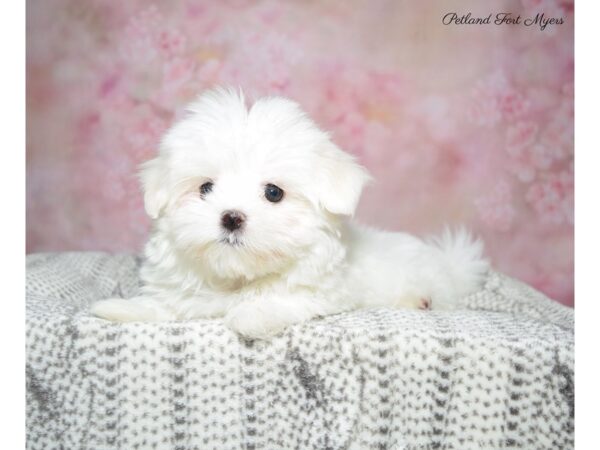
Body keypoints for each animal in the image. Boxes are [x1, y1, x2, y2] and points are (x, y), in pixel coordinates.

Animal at [91, 88, 490, 340]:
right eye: (205, 188)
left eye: (273, 193)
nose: (231, 217)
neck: (237, 278)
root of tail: (449, 264)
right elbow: (167, 305)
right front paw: (120, 308)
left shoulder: (323, 292)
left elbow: (281, 299)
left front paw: (250, 315)